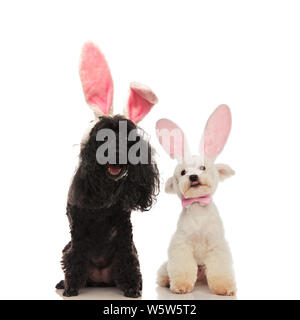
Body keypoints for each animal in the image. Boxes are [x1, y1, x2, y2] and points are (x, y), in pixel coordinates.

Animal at [56, 115, 159, 298]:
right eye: (104, 138)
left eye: (126, 138)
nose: (116, 153)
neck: (106, 188)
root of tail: (100, 280)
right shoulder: (78, 226)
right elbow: (75, 257)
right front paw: (71, 287)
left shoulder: (124, 227)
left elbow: (127, 257)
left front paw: (132, 288)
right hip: (67, 246)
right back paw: (63, 283)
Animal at [155, 105, 237, 296]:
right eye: (183, 172)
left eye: (202, 168)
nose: (193, 176)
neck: (198, 206)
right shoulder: (181, 244)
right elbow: (182, 266)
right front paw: (180, 286)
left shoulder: (216, 244)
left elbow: (220, 269)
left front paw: (224, 288)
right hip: (165, 265)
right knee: (164, 271)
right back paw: (165, 281)